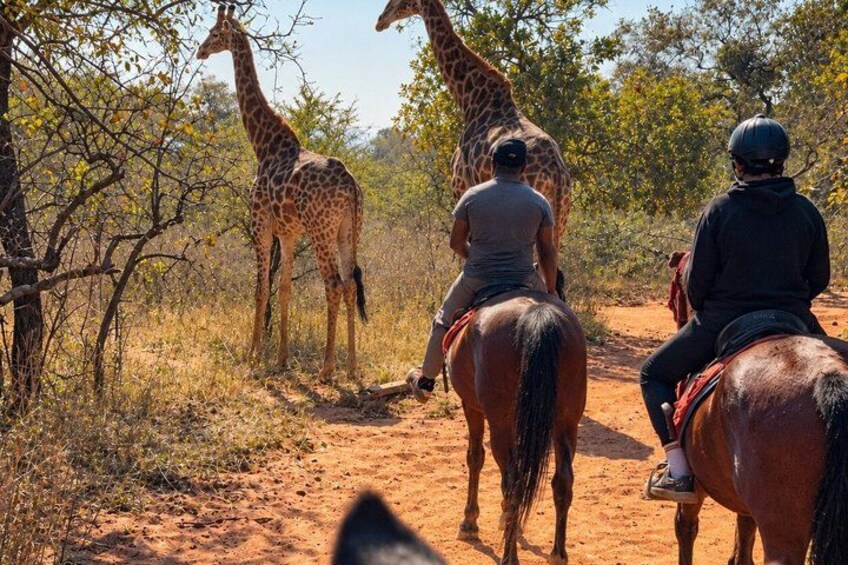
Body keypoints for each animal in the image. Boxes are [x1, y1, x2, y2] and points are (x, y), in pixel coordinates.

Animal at [445, 290, 587, 565]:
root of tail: (537, 315)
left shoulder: (472, 407)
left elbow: (475, 458)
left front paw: (469, 522)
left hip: (500, 423)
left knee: (514, 483)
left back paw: (509, 556)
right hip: (566, 423)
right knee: (562, 481)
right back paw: (557, 554)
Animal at [664, 257, 848, 565]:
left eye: (677, 283)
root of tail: (828, 373)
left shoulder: (693, 488)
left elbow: (685, 529)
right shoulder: (747, 505)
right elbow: (743, 545)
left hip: (782, 528)